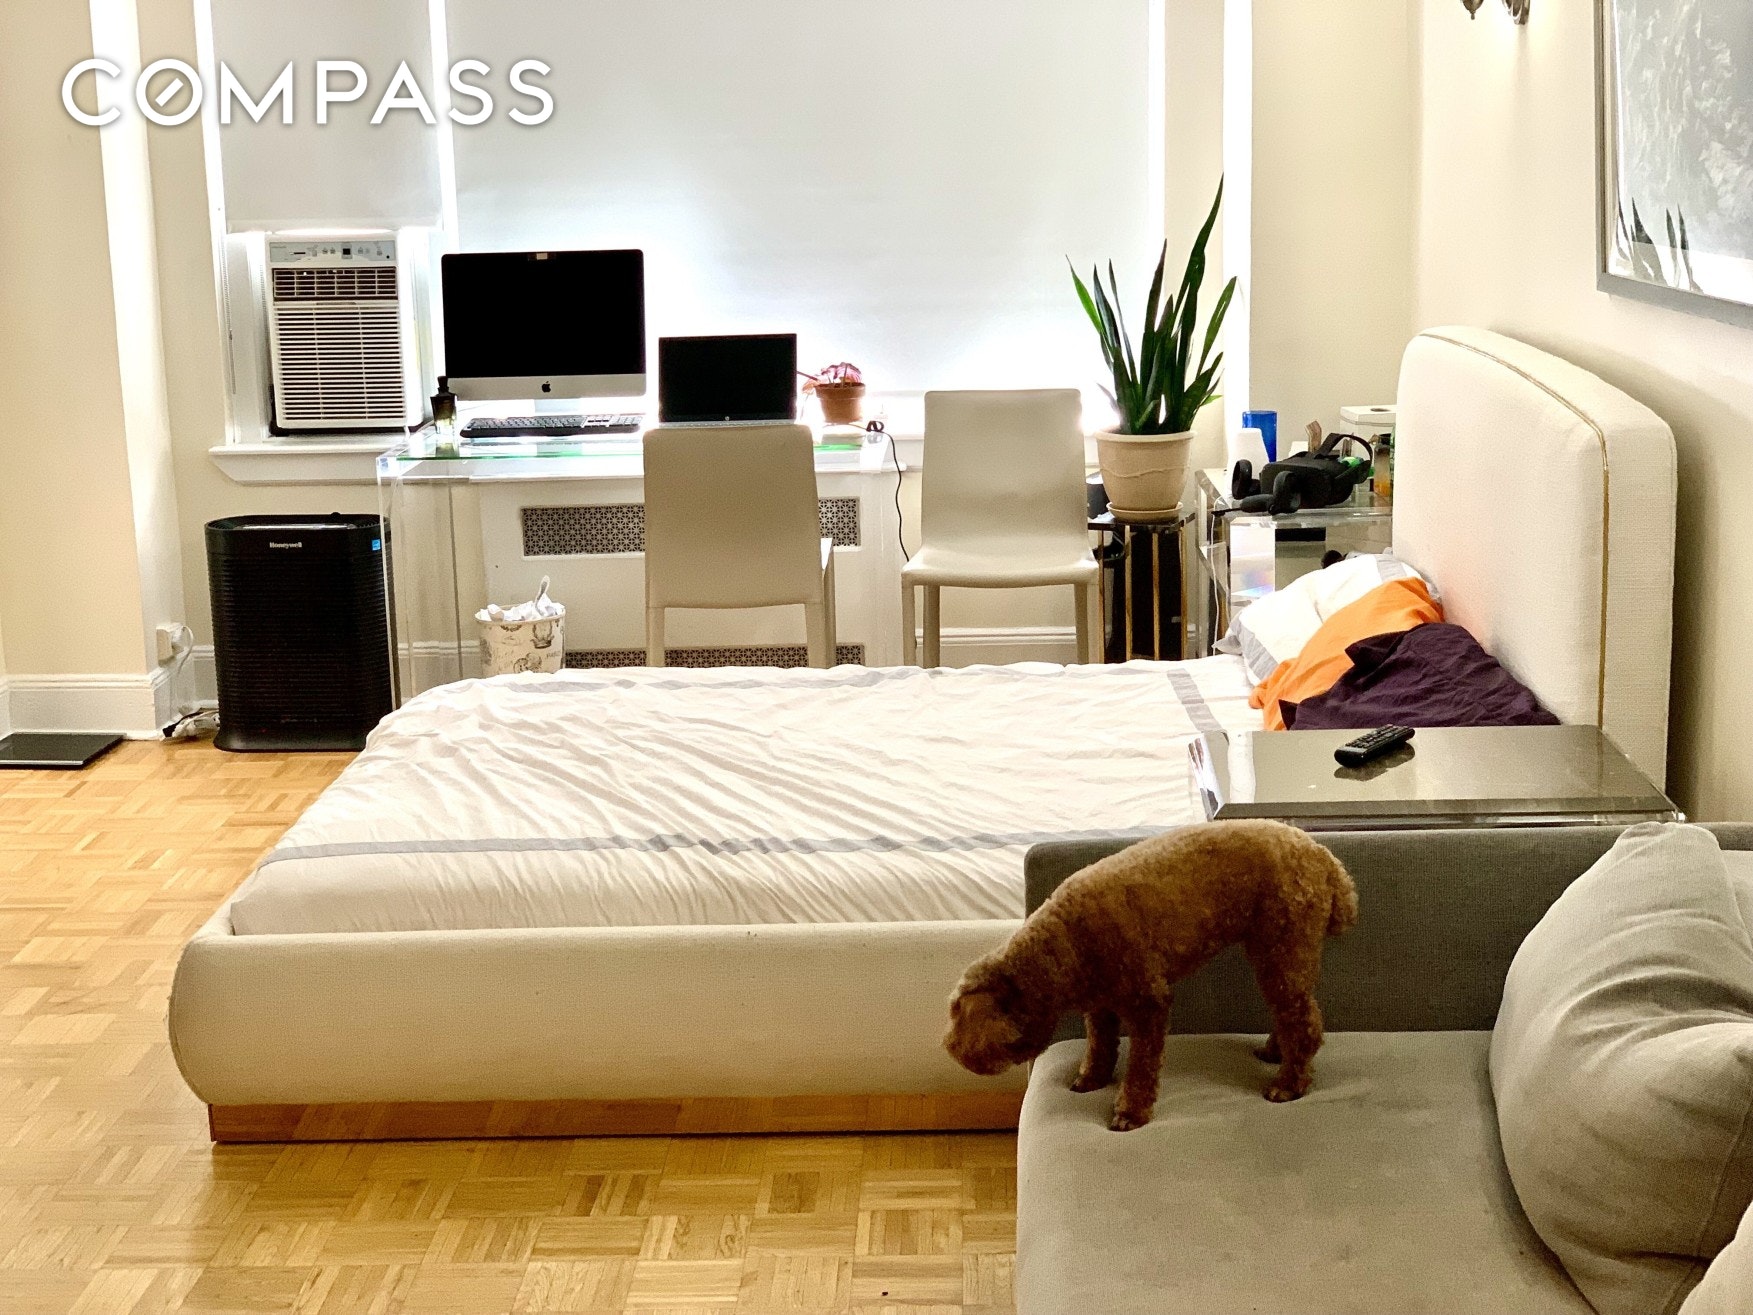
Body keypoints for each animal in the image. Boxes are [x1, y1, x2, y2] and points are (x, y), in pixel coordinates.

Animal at [943, 820, 1358, 1130]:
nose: (951, 1049)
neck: (1064, 943)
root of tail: (1326, 859)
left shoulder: (1149, 1003)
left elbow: (1141, 1067)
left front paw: (1130, 1112)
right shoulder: (1100, 1005)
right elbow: (1100, 1045)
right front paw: (1091, 1079)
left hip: (1283, 945)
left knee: (1304, 1022)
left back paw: (1289, 1085)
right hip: (1275, 951)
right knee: (1292, 1012)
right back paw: (1275, 1051)